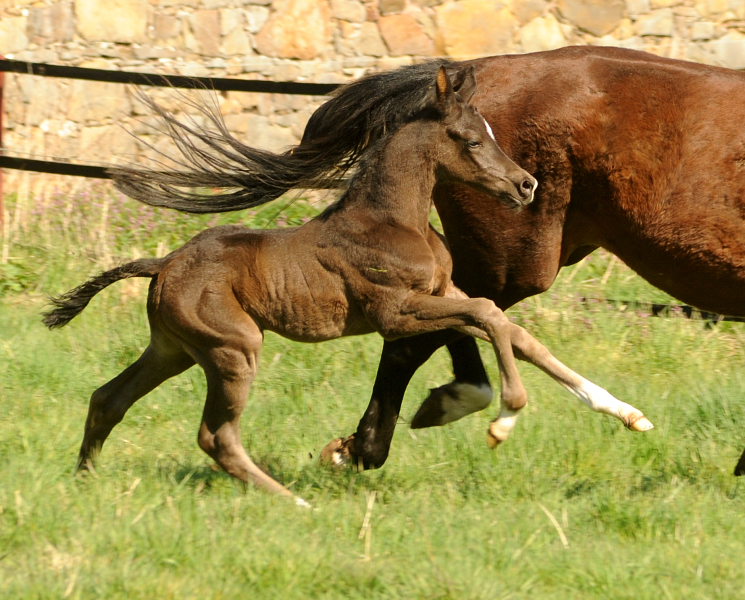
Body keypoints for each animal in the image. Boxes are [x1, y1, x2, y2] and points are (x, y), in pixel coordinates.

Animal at [43, 68, 648, 502]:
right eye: (470, 140)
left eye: (492, 134)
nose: (526, 186)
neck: (392, 220)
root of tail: (163, 263)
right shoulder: (395, 313)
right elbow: (488, 313)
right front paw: (504, 417)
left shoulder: (440, 295)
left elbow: (517, 333)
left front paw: (625, 412)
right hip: (234, 348)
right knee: (216, 436)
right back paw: (292, 501)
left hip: (174, 349)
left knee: (108, 398)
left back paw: (84, 480)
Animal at [112, 44, 744, 474]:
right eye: (471, 139)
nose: (525, 184)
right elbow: (479, 327)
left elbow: (504, 332)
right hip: (512, 258)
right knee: (434, 336)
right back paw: (391, 435)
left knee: (465, 329)